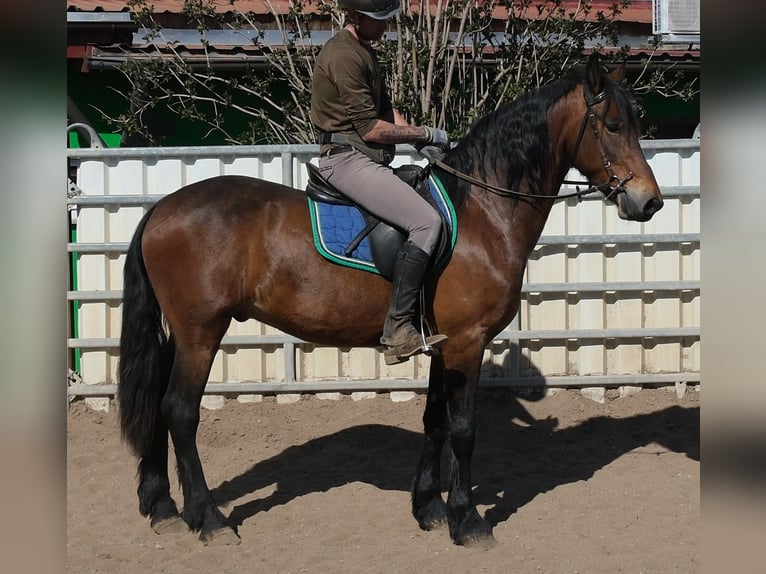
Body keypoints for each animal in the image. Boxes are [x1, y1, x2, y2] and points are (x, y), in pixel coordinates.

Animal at [117, 54, 663, 546]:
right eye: (614, 125)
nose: (650, 201)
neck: (484, 212)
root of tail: (162, 208)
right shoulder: (467, 343)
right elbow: (463, 430)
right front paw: (467, 520)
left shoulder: (444, 344)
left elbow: (435, 422)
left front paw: (429, 509)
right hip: (201, 332)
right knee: (180, 411)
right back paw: (209, 519)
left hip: (180, 334)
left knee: (158, 407)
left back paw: (163, 508)